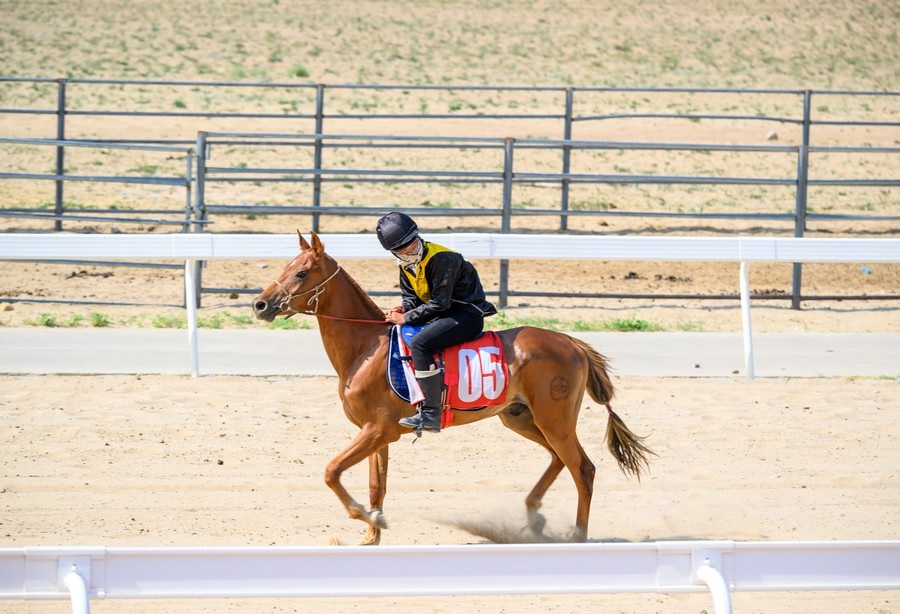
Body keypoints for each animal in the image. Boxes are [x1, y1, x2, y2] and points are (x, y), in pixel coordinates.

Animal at [252, 231, 654, 545]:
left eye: (301, 272)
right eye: (284, 268)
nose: (260, 304)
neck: (366, 347)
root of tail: (572, 342)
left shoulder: (379, 430)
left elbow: (332, 471)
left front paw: (364, 517)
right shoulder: (377, 434)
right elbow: (376, 486)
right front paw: (371, 532)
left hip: (554, 419)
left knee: (582, 468)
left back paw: (578, 534)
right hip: (521, 418)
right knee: (559, 460)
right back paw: (533, 514)